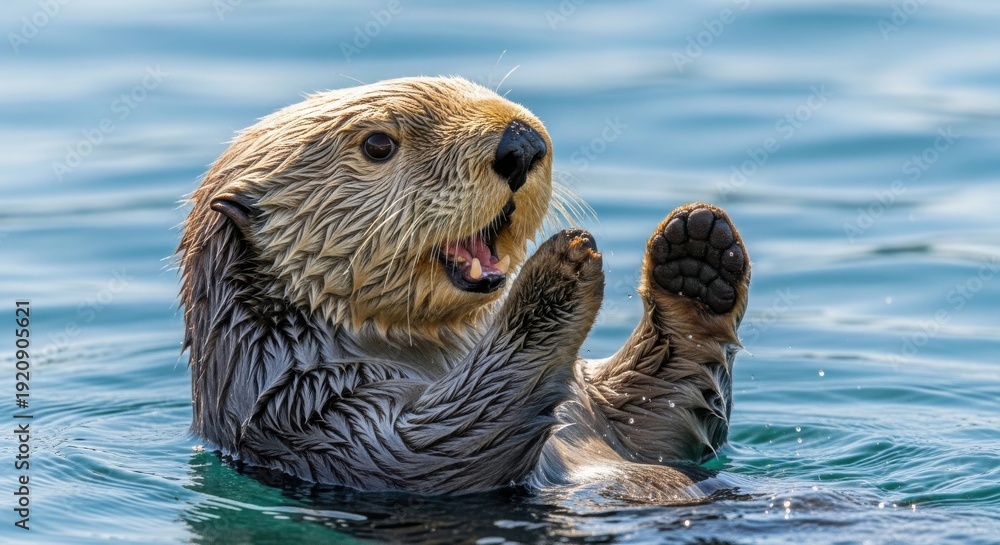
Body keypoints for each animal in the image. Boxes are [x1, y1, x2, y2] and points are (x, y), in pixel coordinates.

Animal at [178, 76, 749, 500]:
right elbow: (431, 444)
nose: (522, 144)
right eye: (378, 144)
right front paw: (558, 271)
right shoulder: (310, 412)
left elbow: (657, 416)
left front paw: (697, 256)